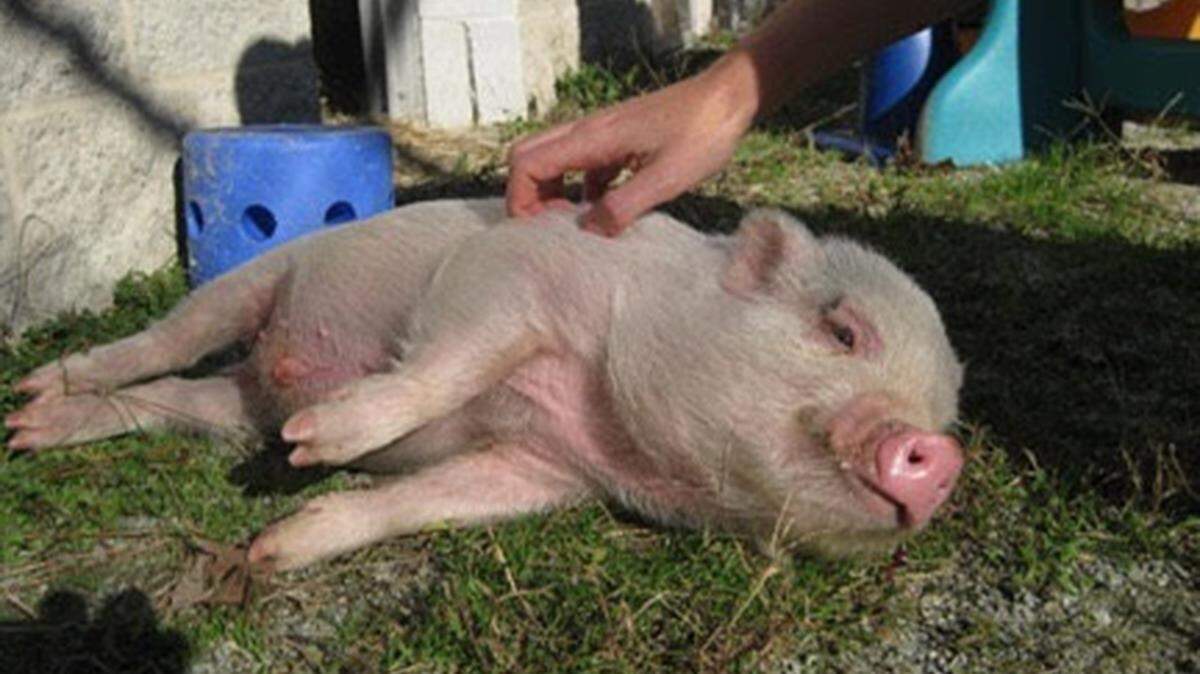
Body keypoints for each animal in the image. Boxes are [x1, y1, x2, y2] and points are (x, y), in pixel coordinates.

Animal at [5, 198, 964, 570]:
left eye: (948, 411)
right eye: (842, 330)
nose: (944, 457)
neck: (604, 413)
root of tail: (263, 370)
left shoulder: (544, 471)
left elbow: (422, 502)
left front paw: (274, 547)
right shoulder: (507, 276)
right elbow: (450, 363)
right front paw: (321, 442)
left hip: (227, 409)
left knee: (165, 403)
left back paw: (32, 430)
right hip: (251, 283)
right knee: (159, 339)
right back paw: (35, 389)